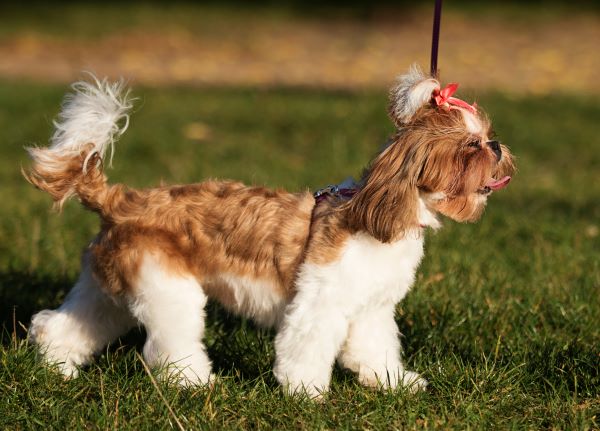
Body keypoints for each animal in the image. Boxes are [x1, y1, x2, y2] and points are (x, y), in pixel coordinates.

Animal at [24, 66, 516, 400]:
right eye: (470, 146)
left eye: (488, 135)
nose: (496, 146)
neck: (379, 214)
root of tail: (118, 199)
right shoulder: (319, 305)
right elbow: (306, 349)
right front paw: (306, 393)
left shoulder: (370, 311)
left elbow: (376, 350)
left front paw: (394, 383)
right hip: (169, 291)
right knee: (171, 347)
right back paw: (196, 382)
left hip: (108, 291)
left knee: (61, 325)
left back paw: (58, 368)